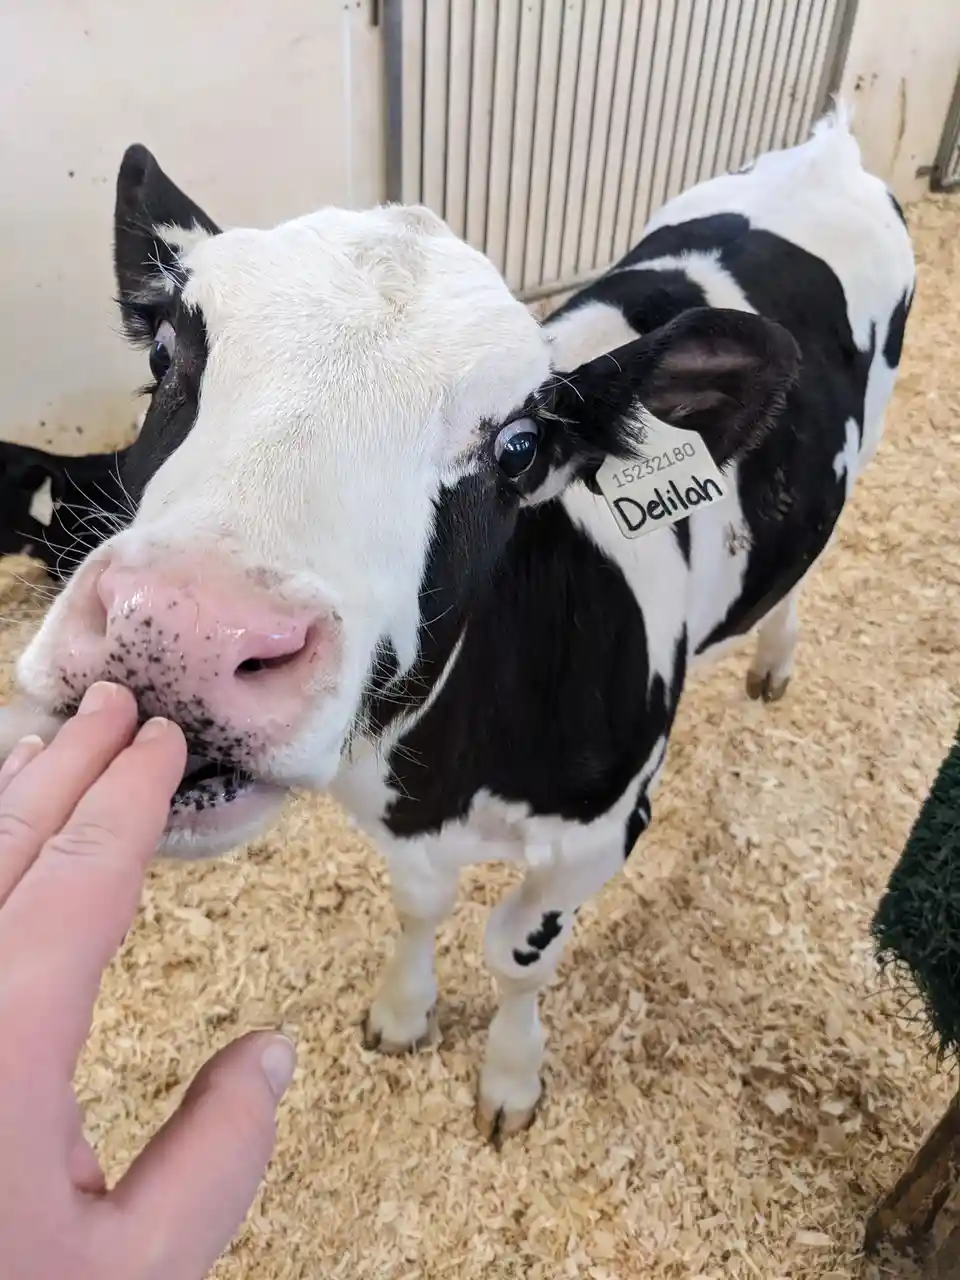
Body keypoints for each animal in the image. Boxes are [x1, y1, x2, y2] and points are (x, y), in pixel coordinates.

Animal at [0, 107, 914, 1143]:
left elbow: (518, 954)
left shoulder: (601, 833)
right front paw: (403, 1011)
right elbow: (417, 905)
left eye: (518, 446)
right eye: (162, 358)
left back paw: (774, 660)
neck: (447, 771)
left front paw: (512, 1076)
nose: (189, 630)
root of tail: (829, 148)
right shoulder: (395, 815)